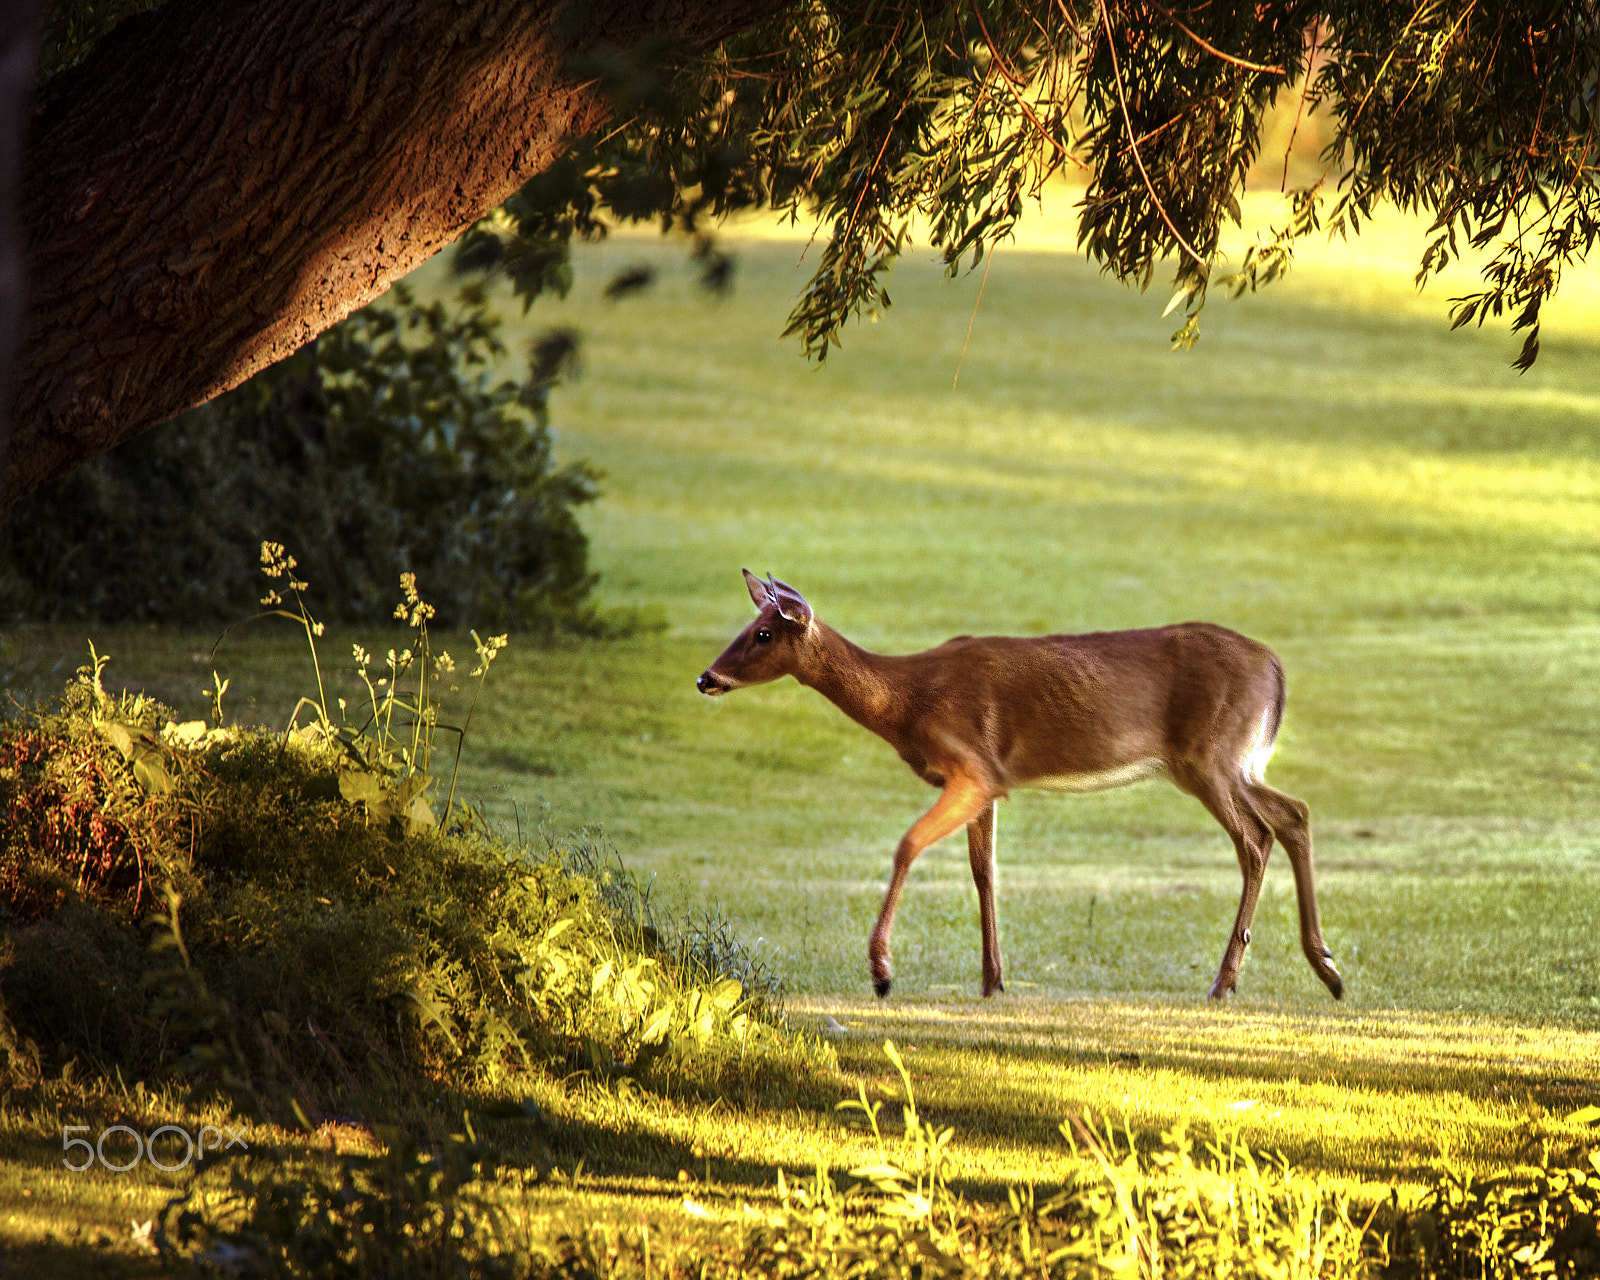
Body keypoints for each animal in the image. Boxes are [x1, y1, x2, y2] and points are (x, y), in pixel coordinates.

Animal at [696, 570, 1343, 1004]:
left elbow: (907, 844)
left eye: (762, 633)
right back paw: (1326, 968)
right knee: (1293, 813)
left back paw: (1229, 981)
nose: (706, 678)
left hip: (1211, 759)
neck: (907, 700)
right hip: (1231, 764)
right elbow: (984, 872)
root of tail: (1277, 670)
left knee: (1255, 837)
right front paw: (993, 980)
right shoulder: (989, 784)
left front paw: (881, 971)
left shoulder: (972, 768)